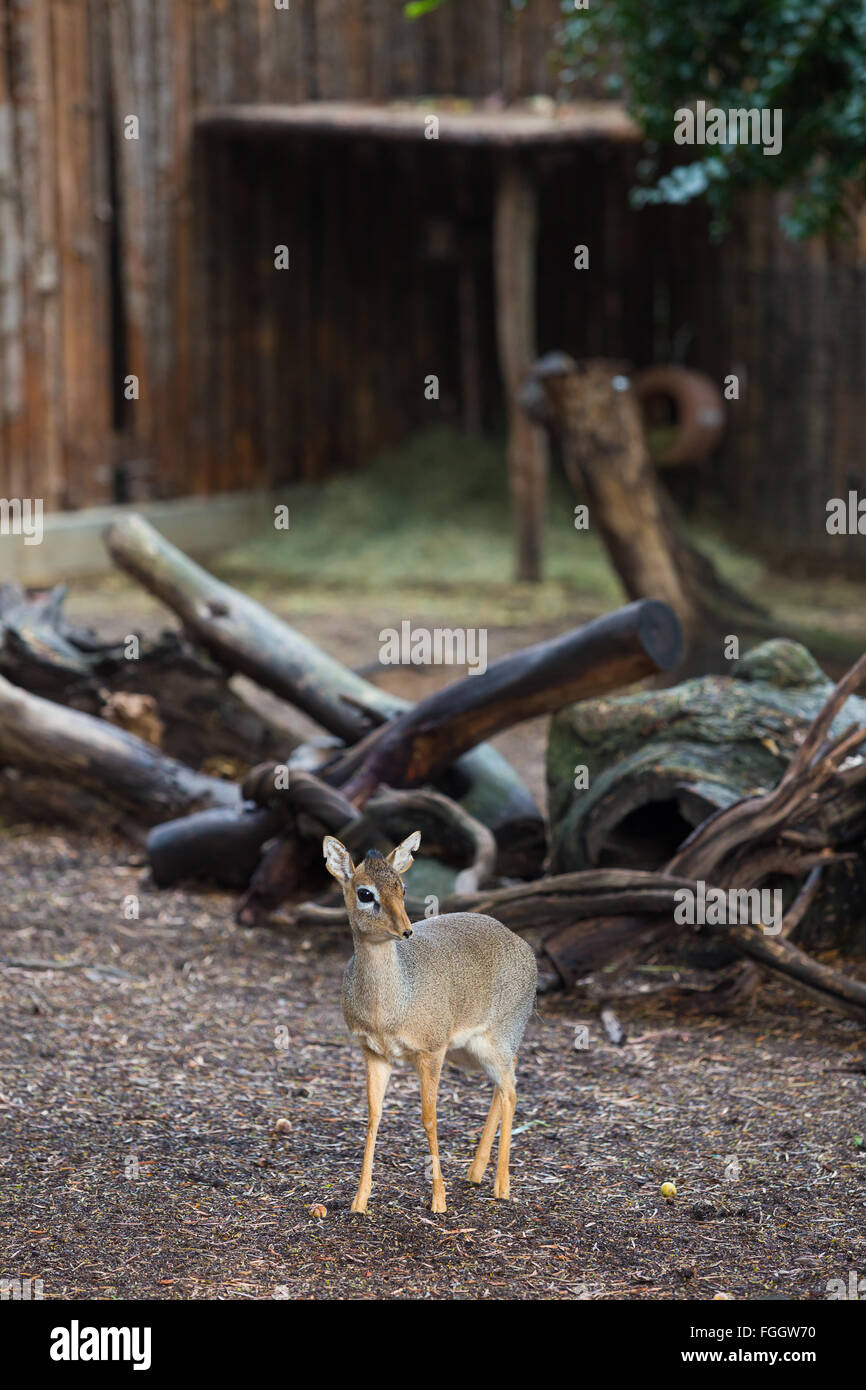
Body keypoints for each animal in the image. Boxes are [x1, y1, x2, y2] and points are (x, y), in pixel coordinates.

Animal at [323, 828, 536, 1212]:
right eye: (365, 893)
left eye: (403, 888)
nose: (406, 930)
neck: (389, 1008)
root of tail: (523, 945)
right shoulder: (374, 1053)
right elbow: (374, 1116)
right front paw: (359, 1201)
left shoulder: (431, 1051)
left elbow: (429, 1117)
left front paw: (438, 1200)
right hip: (471, 1051)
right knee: (504, 1082)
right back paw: (475, 1172)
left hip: (495, 1039)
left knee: (512, 1090)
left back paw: (502, 1185)